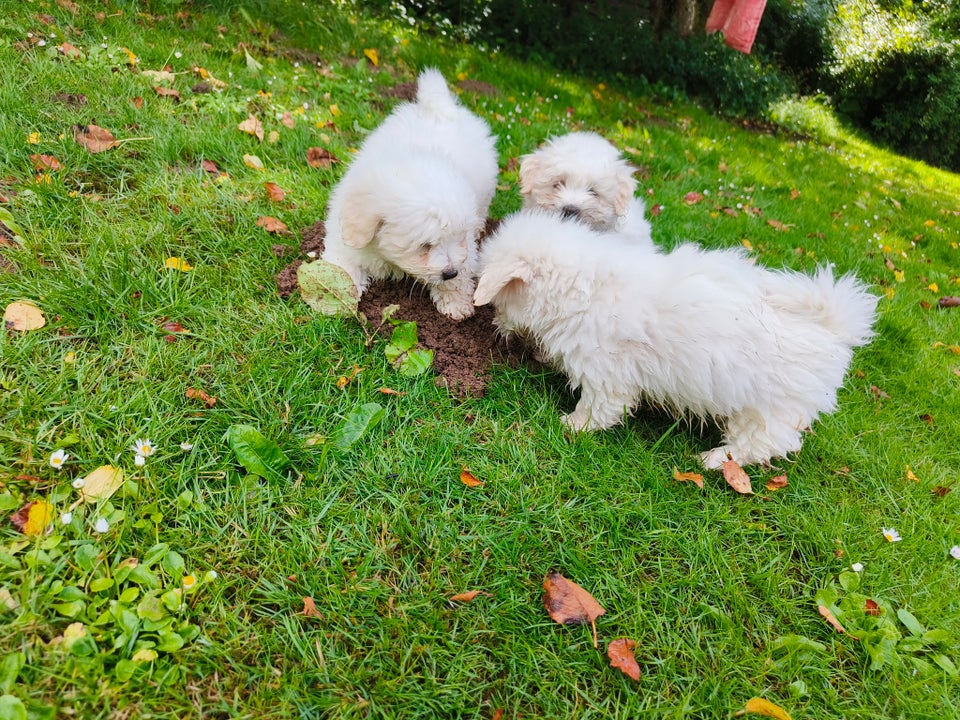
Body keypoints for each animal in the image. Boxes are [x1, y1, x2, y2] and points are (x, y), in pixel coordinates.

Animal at [324, 69, 498, 320]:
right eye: (425, 246)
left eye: (458, 237)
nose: (450, 272)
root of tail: (441, 109)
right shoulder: (345, 237)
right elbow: (340, 267)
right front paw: (331, 297)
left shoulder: (466, 249)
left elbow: (464, 265)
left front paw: (455, 303)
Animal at [472, 211, 876, 470]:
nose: (493, 323)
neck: (580, 286)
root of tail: (834, 329)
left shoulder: (607, 376)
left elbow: (596, 409)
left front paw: (572, 426)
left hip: (768, 411)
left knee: (760, 444)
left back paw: (715, 460)